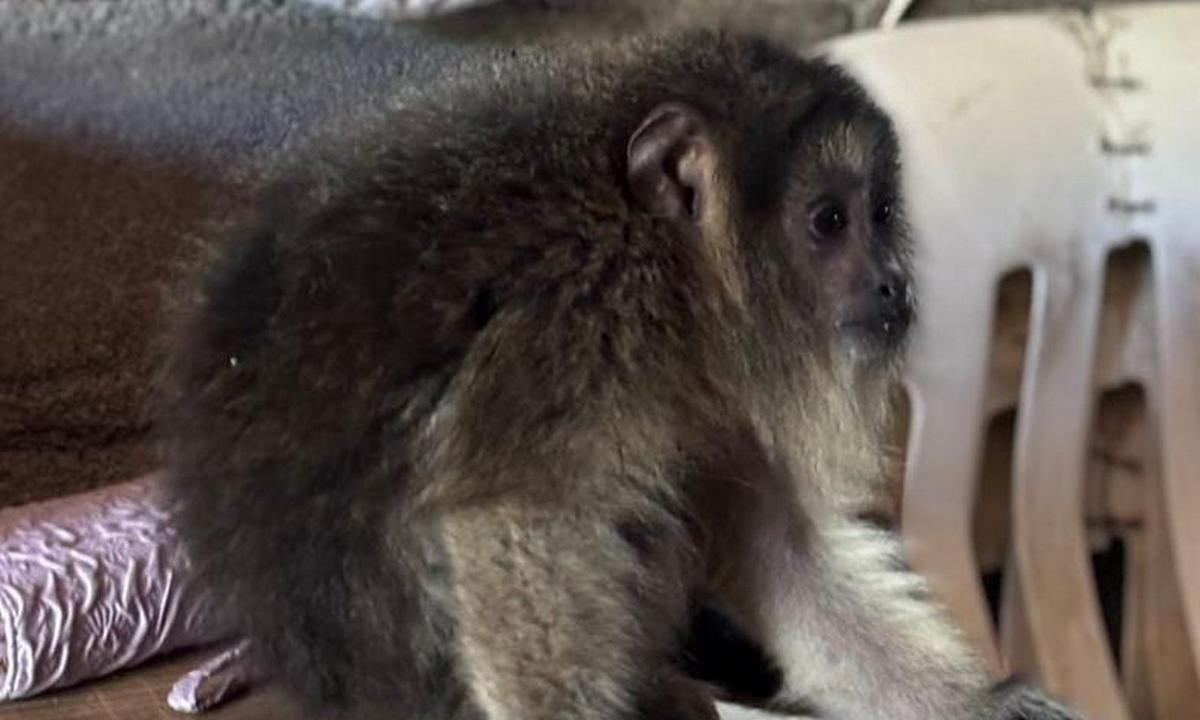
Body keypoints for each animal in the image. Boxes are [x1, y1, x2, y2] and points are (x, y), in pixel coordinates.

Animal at [154, 28, 1087, 720]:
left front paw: (984, 706)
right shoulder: (581, 313)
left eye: (883, 214)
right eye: (829, 221)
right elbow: (513, 514)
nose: (893, 281)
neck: (671, 268)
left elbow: (777, 551)